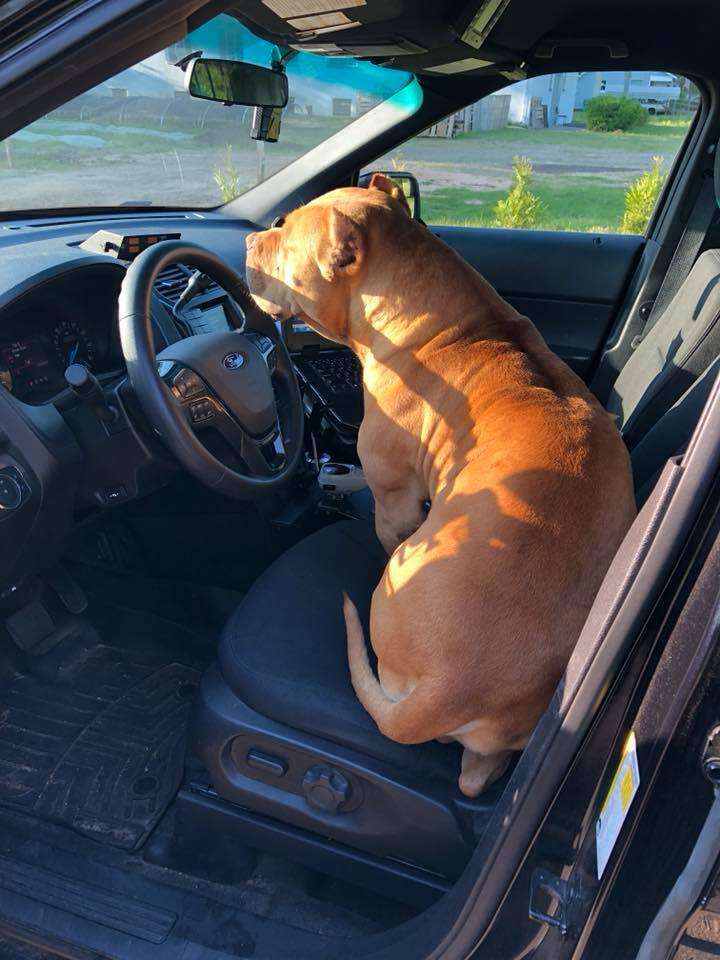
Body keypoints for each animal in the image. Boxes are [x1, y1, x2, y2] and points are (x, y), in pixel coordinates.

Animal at [246, 174, 636, 796]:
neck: (448, 327)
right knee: (475, 778)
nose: (248, 242)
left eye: (284, 231)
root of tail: (447, 690)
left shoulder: (396, 500)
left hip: (395, 582)